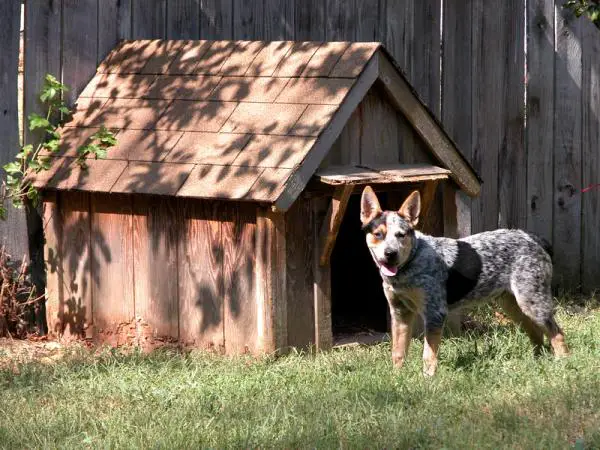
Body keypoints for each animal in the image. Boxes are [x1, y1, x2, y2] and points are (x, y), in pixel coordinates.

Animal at [358, 186, 568, 376]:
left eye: (401, 235)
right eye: (378, 234)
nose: (390, 254)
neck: (411, 263)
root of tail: (533, 238)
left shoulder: (435, 313)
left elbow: (428, 354)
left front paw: (428, 380)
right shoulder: (400, 313)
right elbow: (398, 352)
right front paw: (397, 378)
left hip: (532, 304)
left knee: (557, 333)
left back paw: (563, 364)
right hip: (512, 306)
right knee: (537, 334)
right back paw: (535, 362)